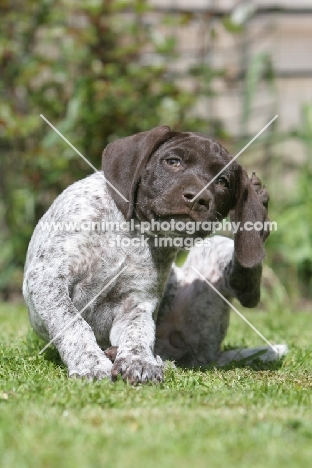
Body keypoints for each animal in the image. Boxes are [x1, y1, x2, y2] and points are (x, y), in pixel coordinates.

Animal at [23, 126, 282, 382]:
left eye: (223, 182)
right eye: (173, 161)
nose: (198, 197)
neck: (132, 233)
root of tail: (206, 355)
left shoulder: (136, 302)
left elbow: (139, 334)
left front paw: (139, 361)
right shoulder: (47, 279)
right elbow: (73, 324)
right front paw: (91, 364)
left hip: (215, 250)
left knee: (248, 290)